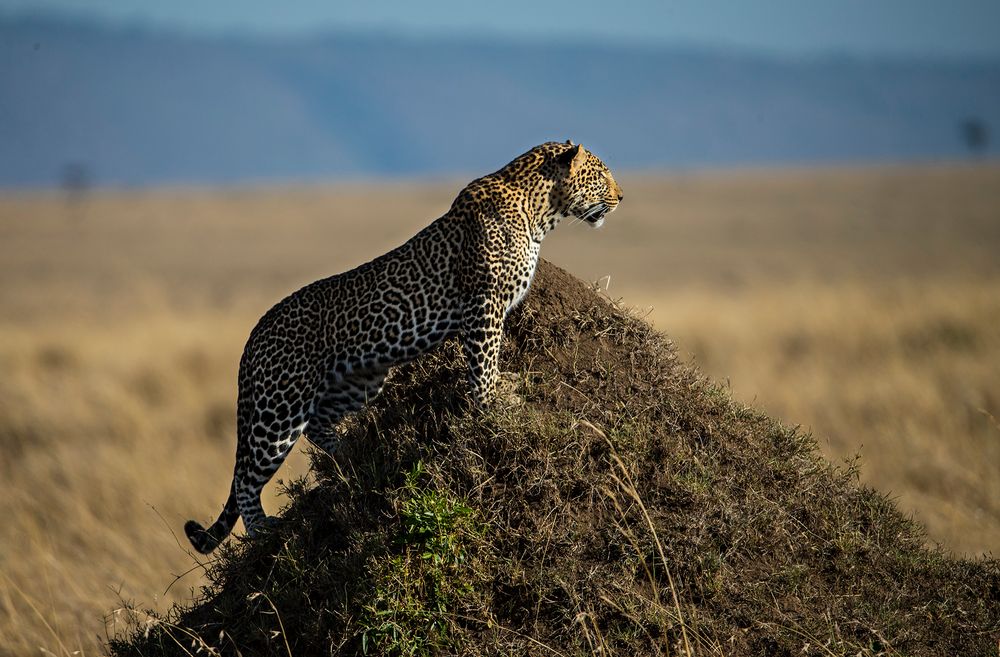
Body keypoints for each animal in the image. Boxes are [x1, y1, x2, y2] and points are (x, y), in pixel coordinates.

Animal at [185, 140, 620, 552]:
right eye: (602, 174)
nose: (621, 197)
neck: (540, 209)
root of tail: (254, 333)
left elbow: (490, 362)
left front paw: (501, 392)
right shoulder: (483, 306)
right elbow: (483, 366)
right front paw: (492, 406)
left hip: (359, 381)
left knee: (319, 425)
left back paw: (348, 451)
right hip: (280, 406)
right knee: (246, 478)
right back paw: (263, 530)